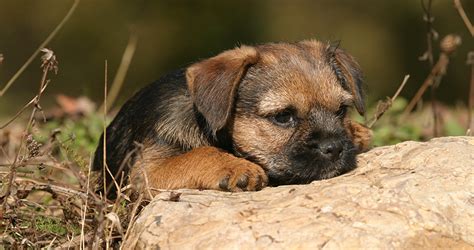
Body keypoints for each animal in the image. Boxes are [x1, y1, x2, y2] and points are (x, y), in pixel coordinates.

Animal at [92, 39, 372, 199]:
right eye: (283, 116)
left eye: (341, 110)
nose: (334, 148)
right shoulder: (144, 173)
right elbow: (200, 153)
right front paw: (237, 167)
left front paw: (356, 130)